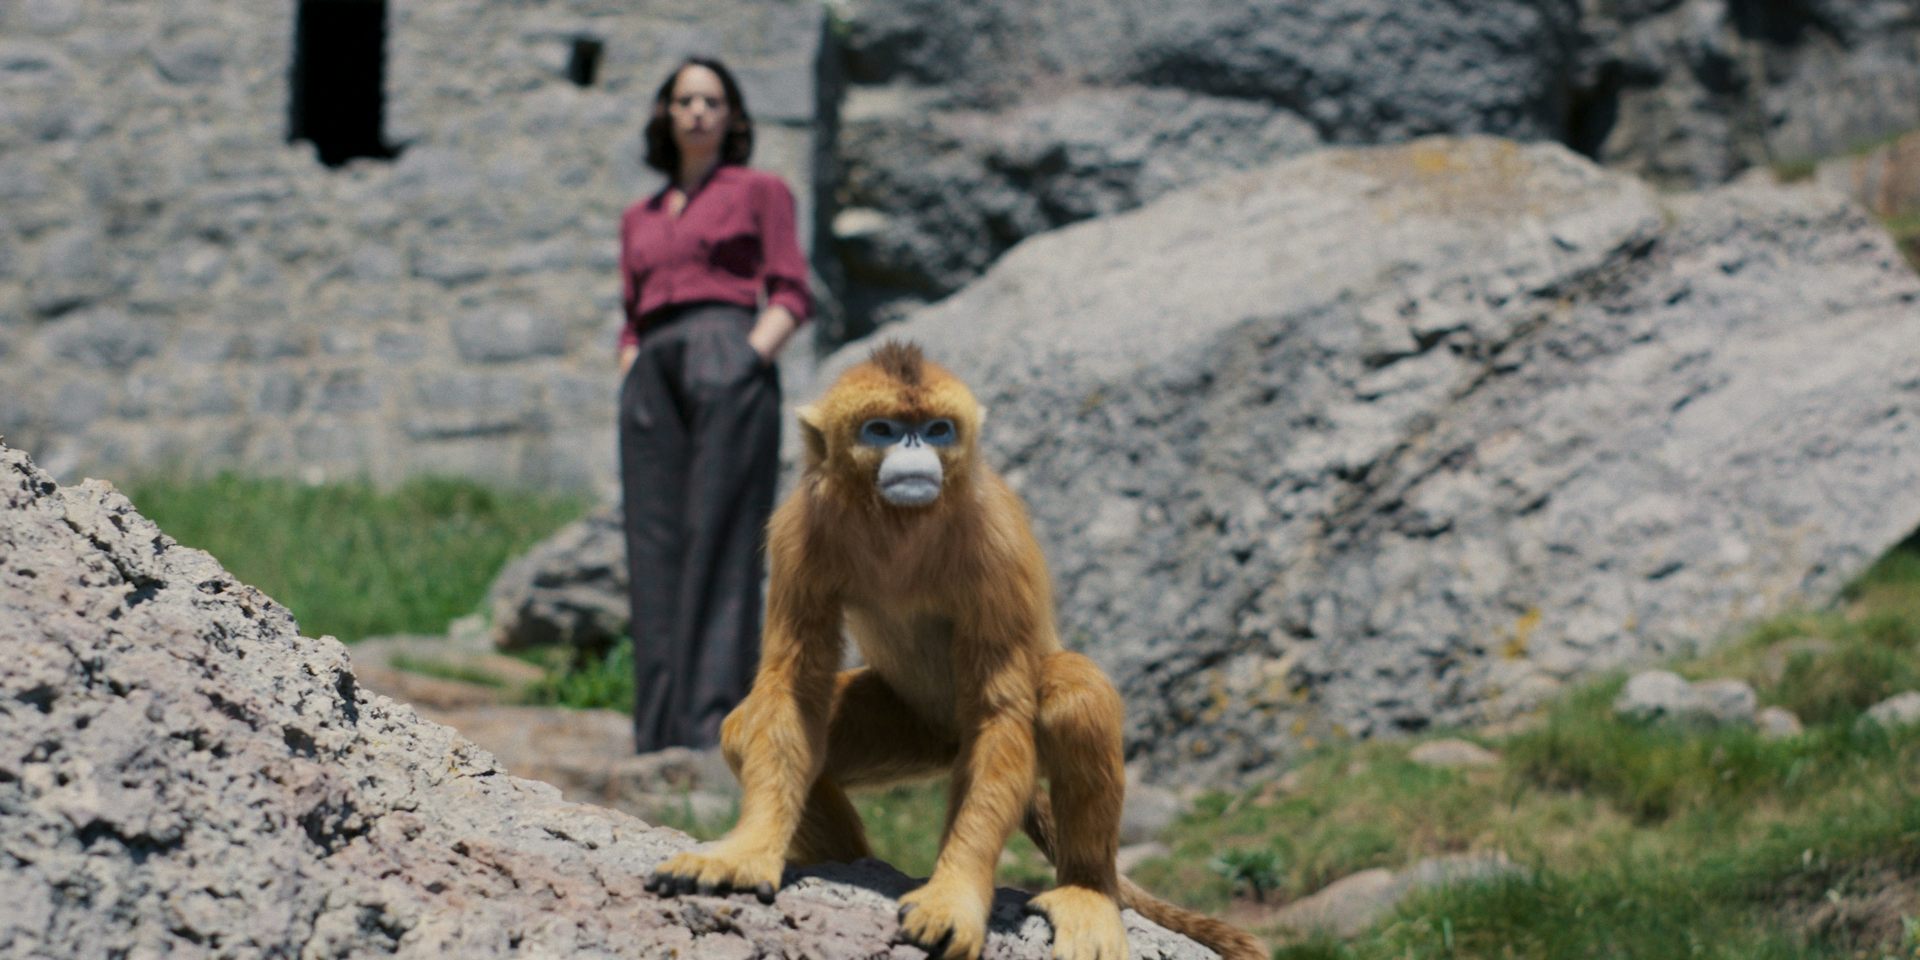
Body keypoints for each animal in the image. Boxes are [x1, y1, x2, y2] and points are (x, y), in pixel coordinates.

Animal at [646, 341, 1263, 960]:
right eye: (882, 429)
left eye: (936, 429)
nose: (914, 449)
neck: (900, 525)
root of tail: (944, 737)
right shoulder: (800, 528)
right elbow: (794, 684)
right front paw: (746, 852)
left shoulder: (996, 542)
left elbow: (1000, 710)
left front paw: (955, 896)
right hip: (914, 728)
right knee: (742, 729)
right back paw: (846, 861)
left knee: (1076, 690)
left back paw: (1087, 890)